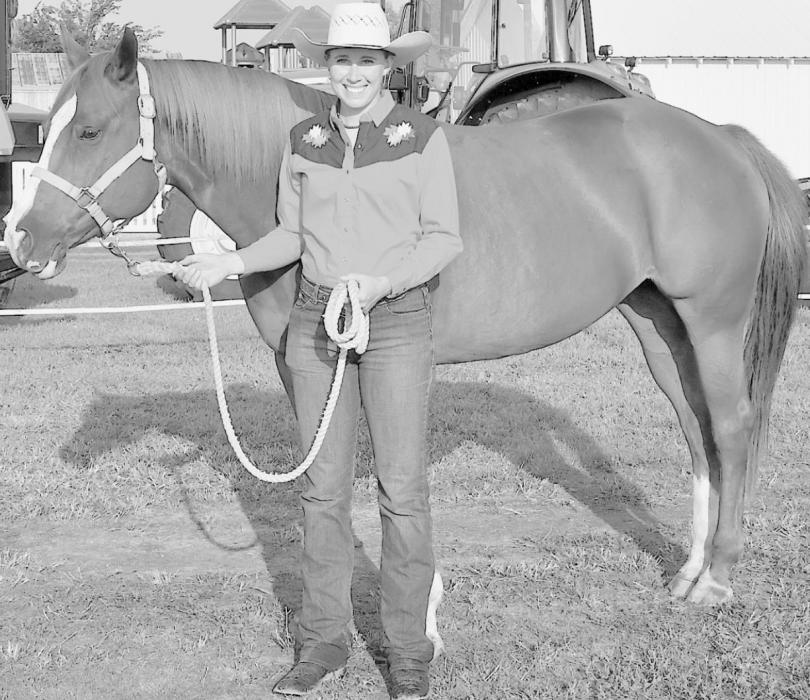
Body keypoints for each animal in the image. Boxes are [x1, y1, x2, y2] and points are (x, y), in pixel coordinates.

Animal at [4, 29, 806, 606]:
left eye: (89, 131)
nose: (21, 242)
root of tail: (721, 137)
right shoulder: (306, 367)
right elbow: (325, 479)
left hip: (713, 323)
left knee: (731, 429)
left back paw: (716, 580)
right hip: (659, 325)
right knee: (698, 433)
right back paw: (689, 571)